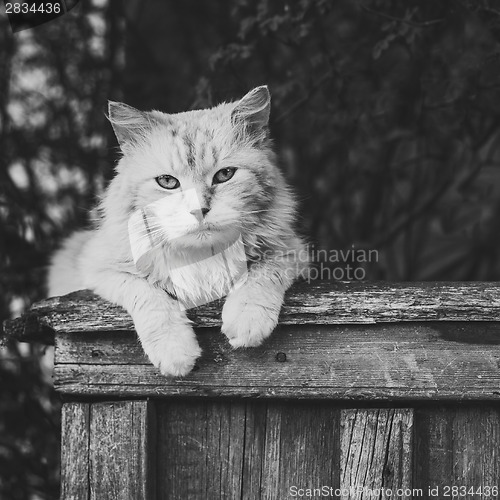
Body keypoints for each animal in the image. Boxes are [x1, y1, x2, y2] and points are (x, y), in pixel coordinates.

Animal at [48, 86, 310, 376]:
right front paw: (175, 352)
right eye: (167, 182)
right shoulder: (100, 268)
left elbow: (261, 275)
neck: (201, 256)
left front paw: (247, 320)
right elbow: (148, 295)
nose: (199, 211)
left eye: (225, 175)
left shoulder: (291, 251)